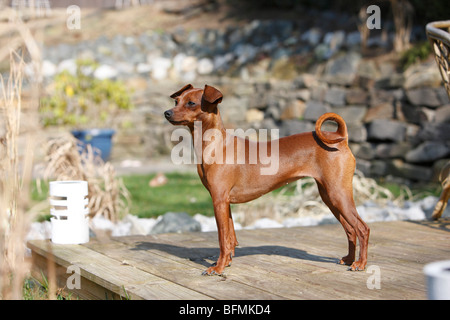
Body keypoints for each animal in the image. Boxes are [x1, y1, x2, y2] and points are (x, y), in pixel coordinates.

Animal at [163, 83, 370, 276]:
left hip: (338, 194)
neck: (215, 144)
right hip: (329, 196)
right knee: (350, 229)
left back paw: (360, 264)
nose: (166, 113)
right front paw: (227, 262)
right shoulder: (225, 202)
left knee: (362, 228)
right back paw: (349, 259)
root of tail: (340, 137)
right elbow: (230, 237)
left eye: (191, 103)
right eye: (176, 101)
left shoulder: (219, 200)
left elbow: (222, 239)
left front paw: (219, 268)